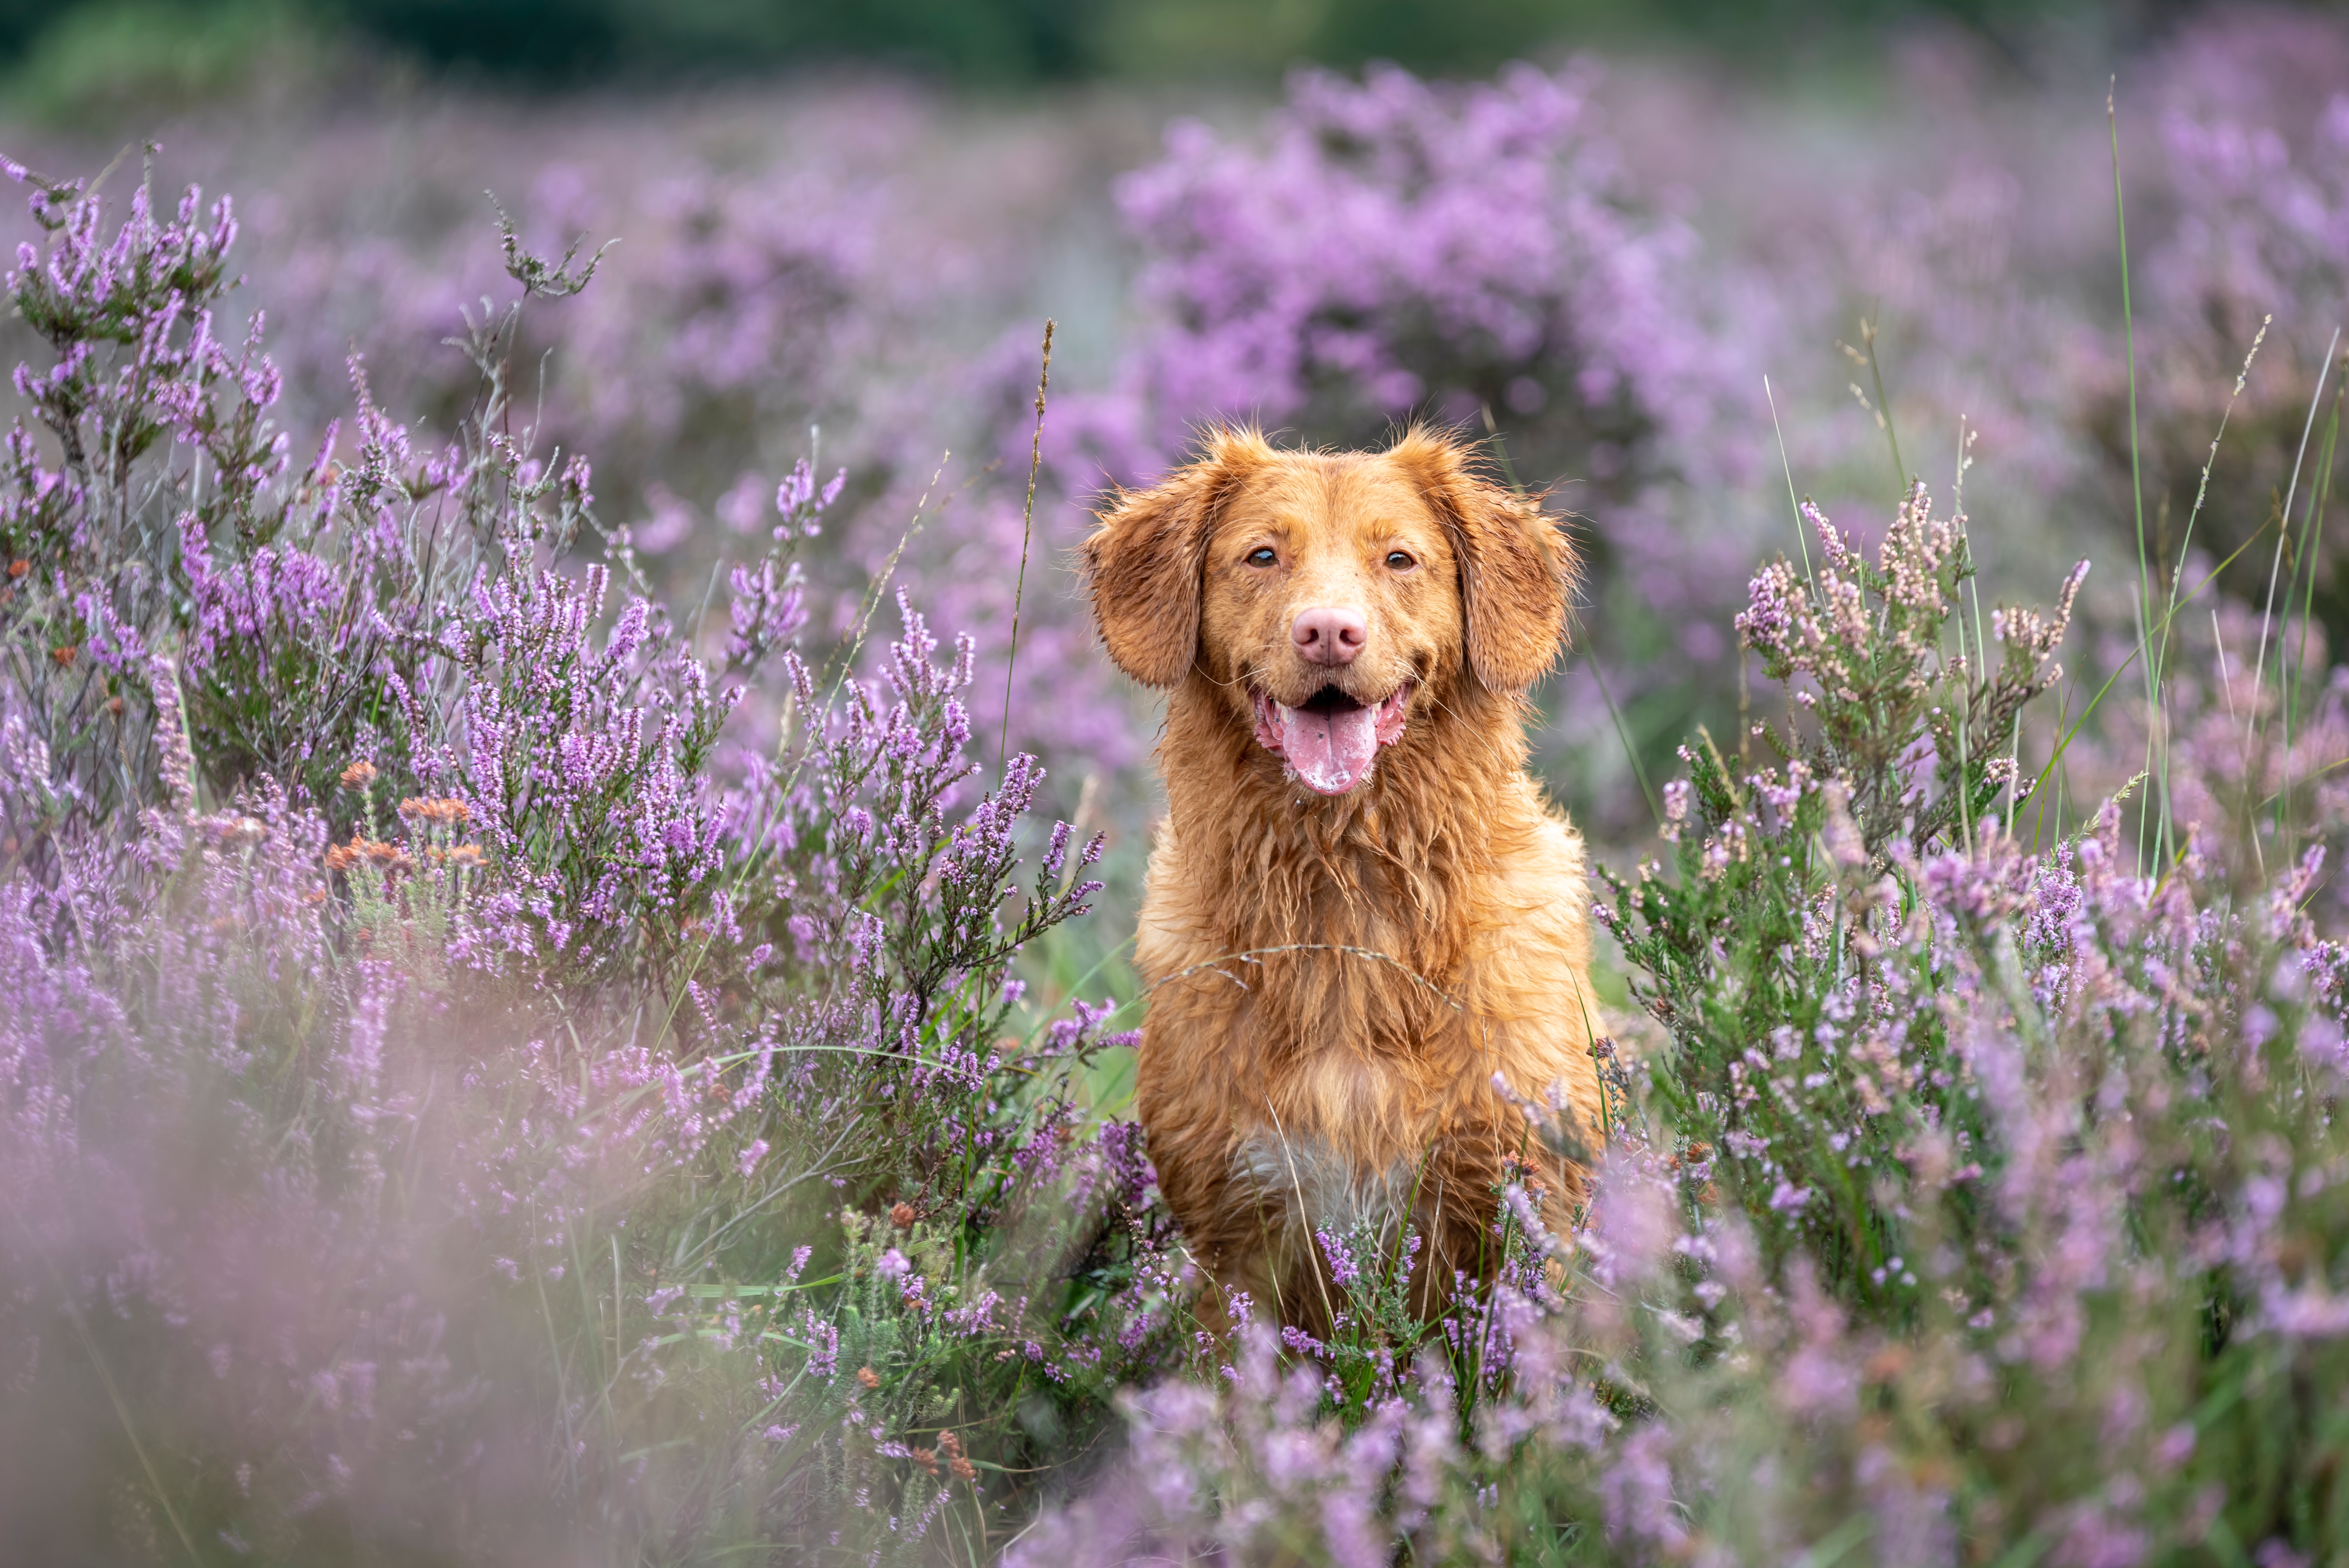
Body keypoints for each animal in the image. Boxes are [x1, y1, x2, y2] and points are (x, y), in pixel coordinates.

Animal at [1085, 422, 1606, 1333]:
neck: (1345, 891)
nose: (1329, 632)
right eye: (1261, 555)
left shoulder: (1527, 1206)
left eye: (1399, 559)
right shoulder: (1238, 1233)